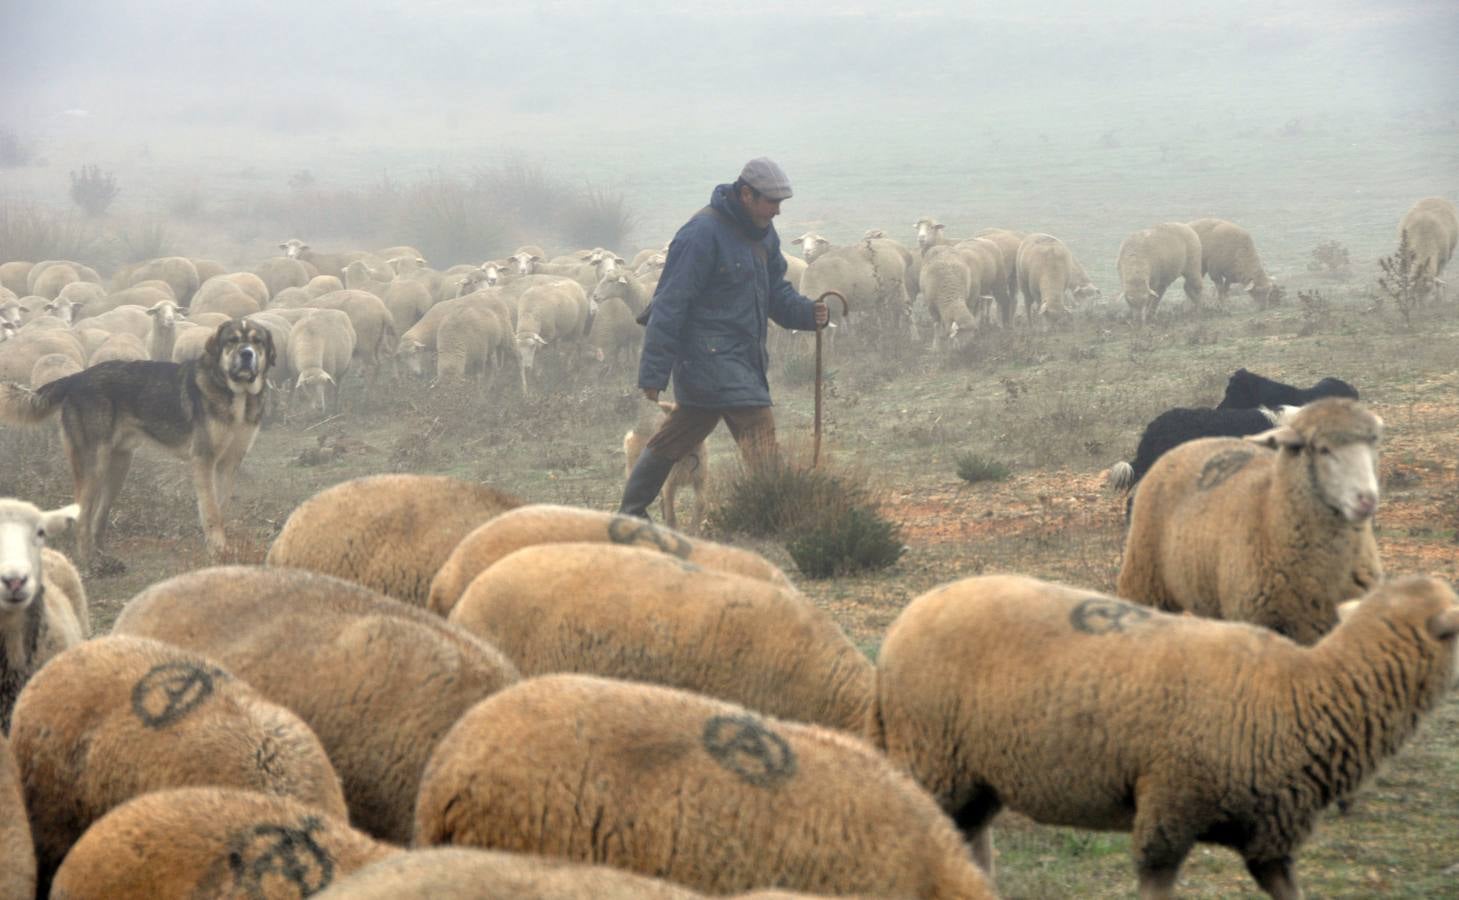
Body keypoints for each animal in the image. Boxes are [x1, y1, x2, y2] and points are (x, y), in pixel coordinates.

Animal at [870, 573, 1459, 900]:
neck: (1306, 689)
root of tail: (902, 624)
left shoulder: (1269, 839)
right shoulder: (1170, 806)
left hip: (974, 780)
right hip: (931, 757)